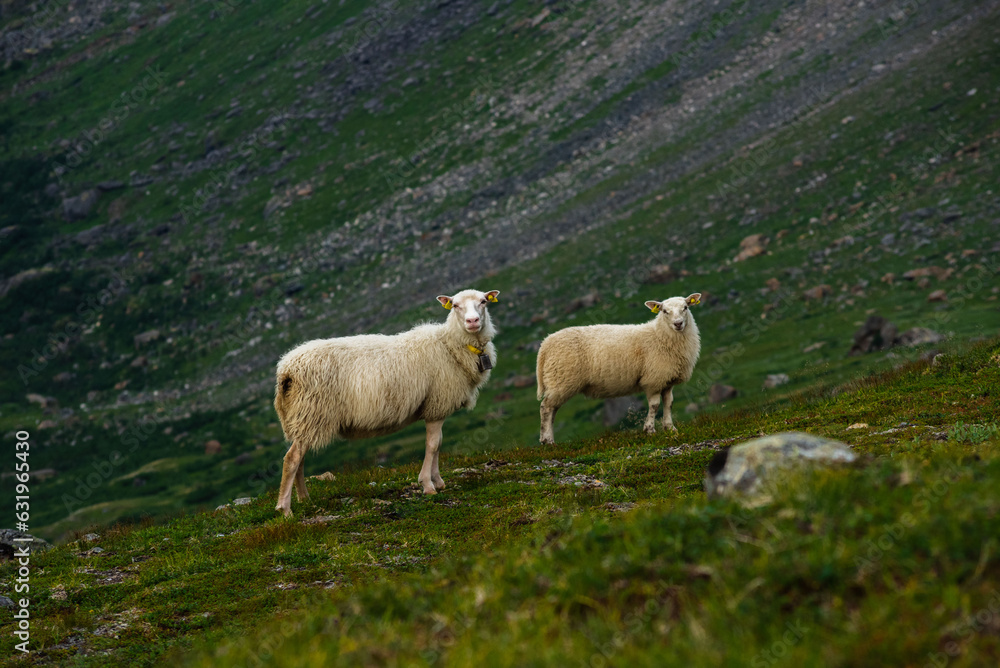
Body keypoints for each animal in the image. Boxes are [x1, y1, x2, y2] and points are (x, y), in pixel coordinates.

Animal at [272, 288, 500, 516]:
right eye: (455, 305)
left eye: (483, 301)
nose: (472, 321)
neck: (450, 345)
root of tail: (287, 369)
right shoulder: (436, 405)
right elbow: (432, 445)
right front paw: (428, 485)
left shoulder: (437, 409)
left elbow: (438, 444)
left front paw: (438, 481)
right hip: (312, 412)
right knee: (292, 459)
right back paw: (285, 509)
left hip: (303, 418)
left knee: (299, 459)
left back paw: (305, 499)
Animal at [532, 292, 704, 444]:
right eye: (664, 311)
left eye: (685, 307)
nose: (678, 324)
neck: (659, 335)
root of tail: (545, 344)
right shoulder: (653, 380)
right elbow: (655, 406)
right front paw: (649, 430)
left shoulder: (667, 379)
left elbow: (669, 403)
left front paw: (670, 428)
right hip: (561, 380)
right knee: (546, 408)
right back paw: (547, 440)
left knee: (552, 410)